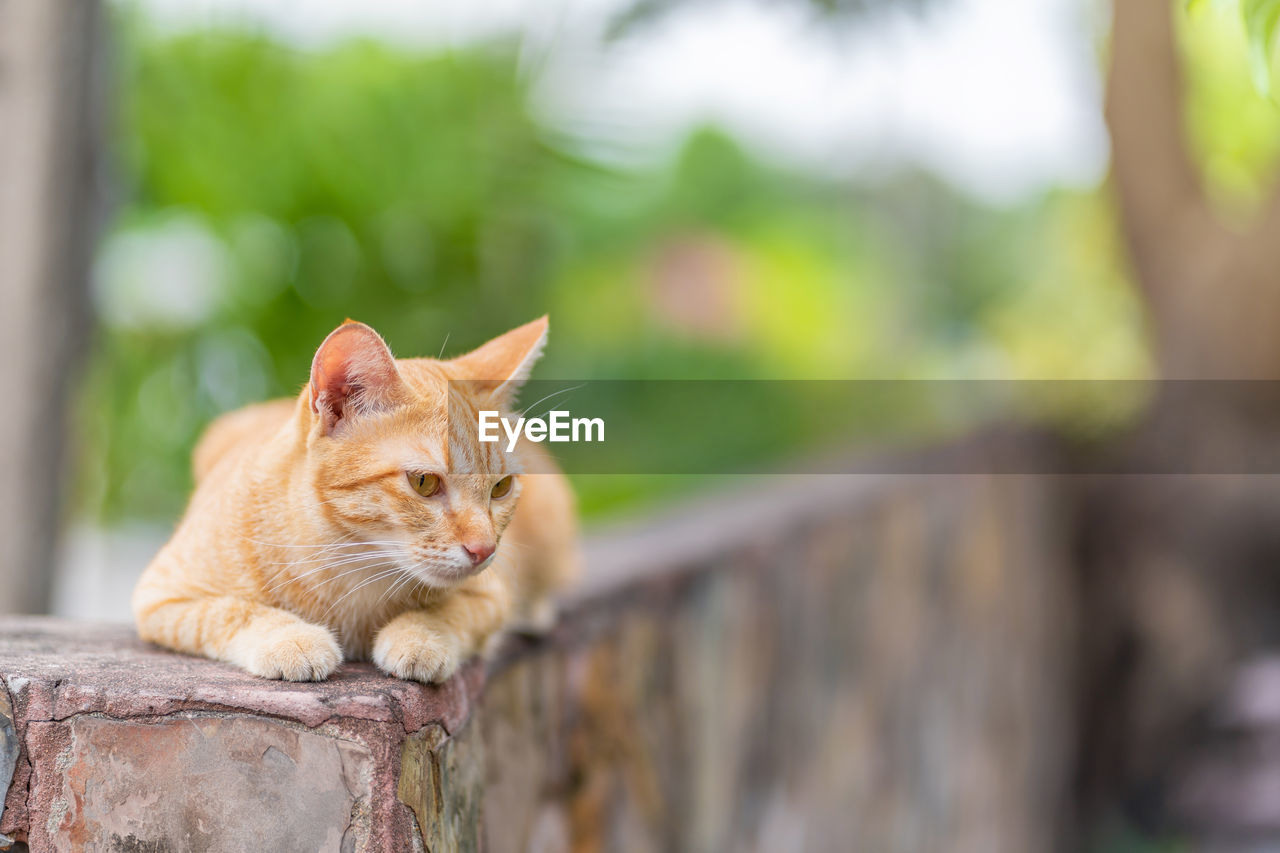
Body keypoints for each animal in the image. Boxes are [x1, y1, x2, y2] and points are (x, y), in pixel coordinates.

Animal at [133, 315, 581, 681]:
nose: (484, 550)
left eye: (501, 487)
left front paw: (419, 636)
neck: (352, 562)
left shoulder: (491, 595)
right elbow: (231, 612)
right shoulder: (161, 595)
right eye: (423, 482)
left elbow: (449, 612)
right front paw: (292, 639)